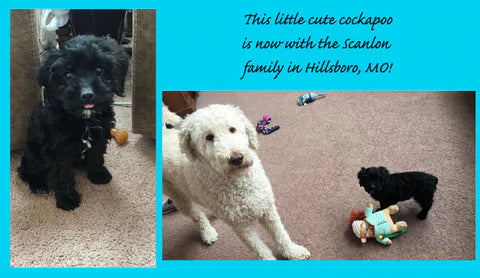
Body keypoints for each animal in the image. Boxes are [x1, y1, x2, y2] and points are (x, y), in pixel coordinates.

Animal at [19, 35, 129, 211]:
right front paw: (67, 199)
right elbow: (62, 173)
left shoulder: (99, 136)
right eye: (68, 75)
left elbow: (97, 155)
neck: (83, 119)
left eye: (99, 70)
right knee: (27, 170)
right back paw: (38, 185)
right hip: (33, 150)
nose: (87, 95)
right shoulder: (57, 149)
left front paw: (98, 174)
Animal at [163, 105, 310, 260]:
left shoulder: (267, 209)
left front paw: (293, 251)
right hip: (178, 197)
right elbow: (260, 249)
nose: (237, 158)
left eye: (232, 129)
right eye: (209, 137)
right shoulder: (241, 227)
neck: (240, 182)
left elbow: (280, 234)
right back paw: (208, 232)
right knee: (197, 216)